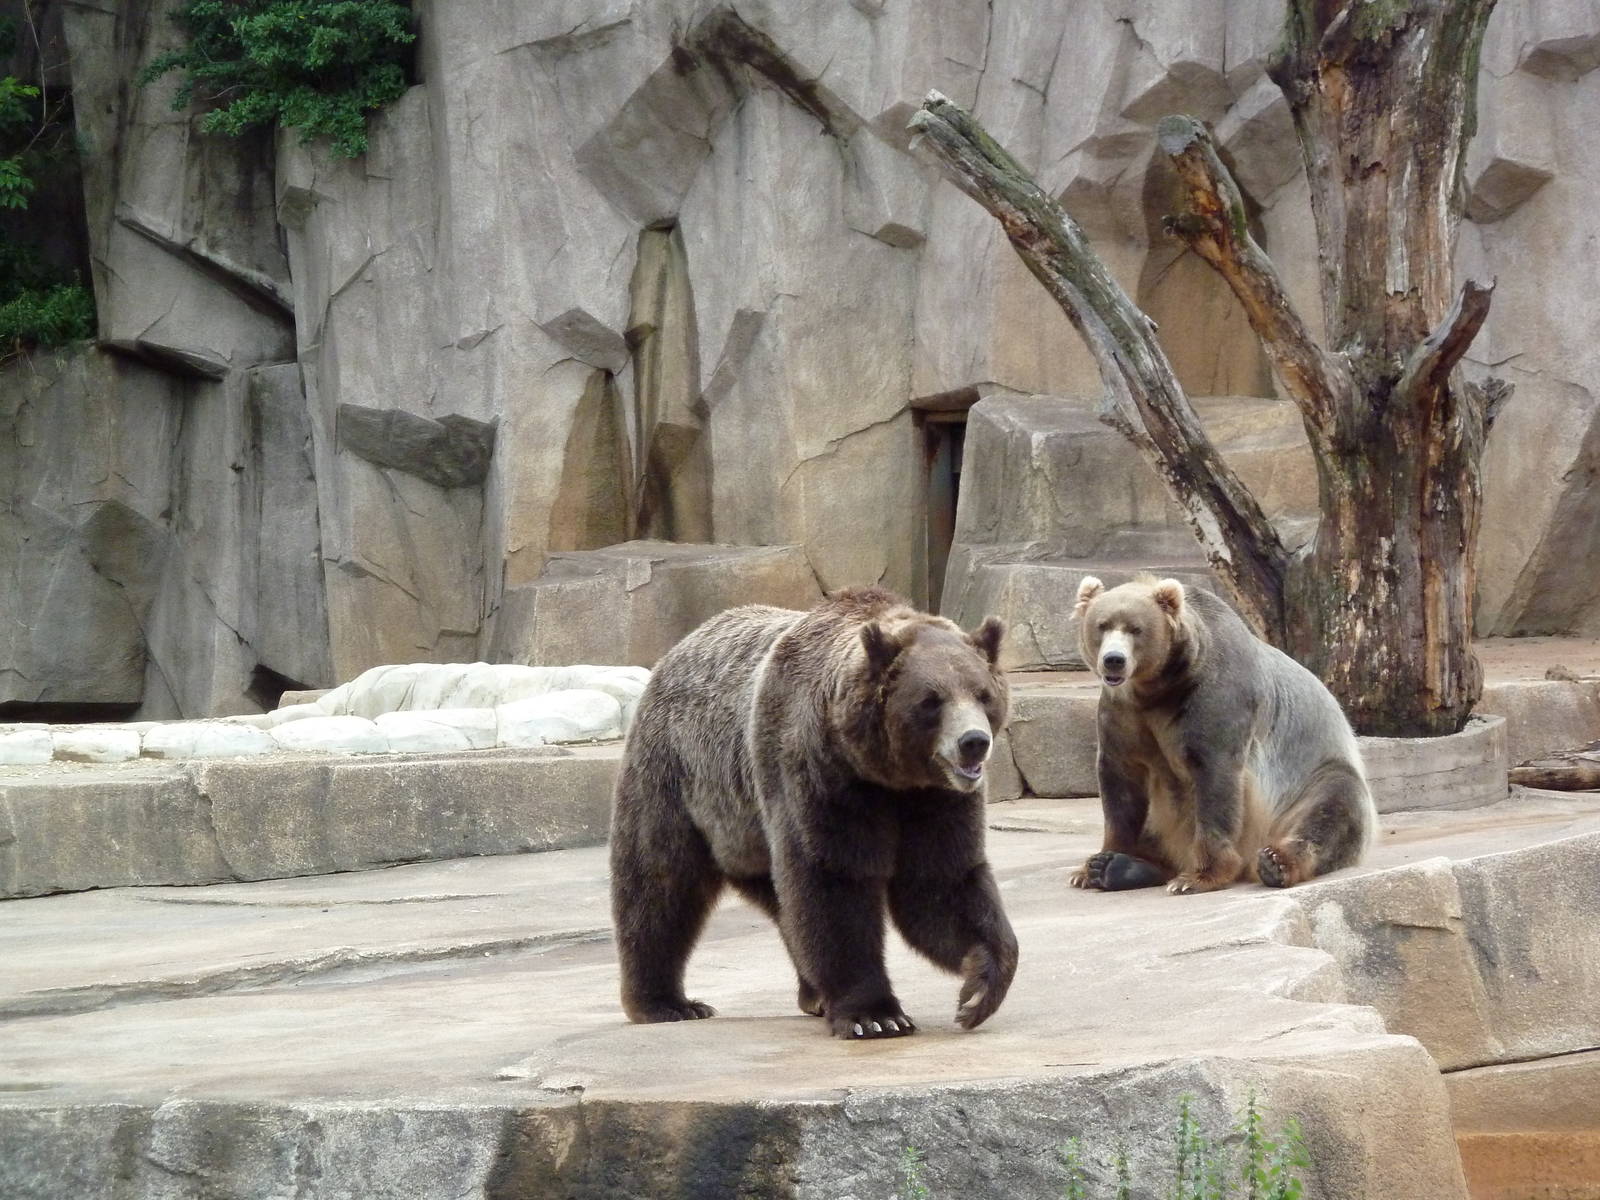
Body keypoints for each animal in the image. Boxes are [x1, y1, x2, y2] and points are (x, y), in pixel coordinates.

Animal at [609, 586, 1018, 1039]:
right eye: (931, 700)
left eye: (983, 694)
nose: (973, 742)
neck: (884, 772)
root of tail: (676, 650)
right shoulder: (819, 772)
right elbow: (832, 880)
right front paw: (874, 1015)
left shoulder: (934, 799)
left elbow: (941, 881)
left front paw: (978, 989)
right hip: (680, 779)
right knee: (660, 881)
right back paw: (666, 1002)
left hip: (748, 832)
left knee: (782, 903)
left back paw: (813, 994)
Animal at [1068, 574, 1376, 894]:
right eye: (1101, 625)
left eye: (1136, 629)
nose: (1114, 660)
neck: (1156, 689)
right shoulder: (1124, 715)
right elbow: (1121, 787)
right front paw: (1095, 865)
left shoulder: (1215, 699)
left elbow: (1215, 783)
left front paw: (1197, 877)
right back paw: (1122, 868)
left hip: (1308, 781)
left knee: (1331, 808)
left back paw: (1275, 862)